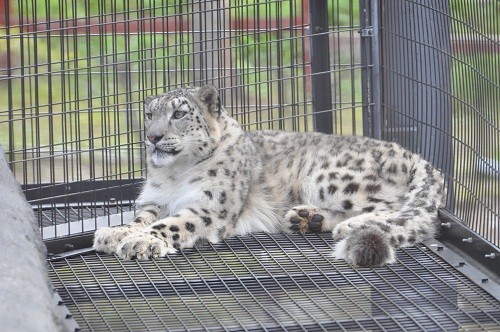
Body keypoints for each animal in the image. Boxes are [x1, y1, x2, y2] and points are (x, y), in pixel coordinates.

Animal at [94, 85, 446, 268]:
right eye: (149, 114)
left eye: (179, 113)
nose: (152, 137)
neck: (174, 174)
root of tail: (416, 156)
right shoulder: (154, 200)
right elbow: (142, 217)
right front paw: (115, 233)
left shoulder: (208, 206)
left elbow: (173, 224)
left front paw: (140, 241)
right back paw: (308, 219)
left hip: (328, 178)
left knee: (404, 212)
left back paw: (351, 225)